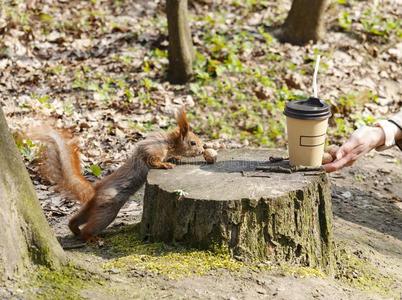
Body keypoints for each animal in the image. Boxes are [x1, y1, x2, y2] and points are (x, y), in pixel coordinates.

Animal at [29, 108, 204, 241]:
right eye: (193, 143)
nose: (203, 151)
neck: (168, 143)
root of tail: (95, 190)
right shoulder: (152, 150)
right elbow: (153, 161)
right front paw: (166, 164)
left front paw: (175, 158)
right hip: (107, 210)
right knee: (90, 227)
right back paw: (91, 239)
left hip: (93, 207)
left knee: (75, 219)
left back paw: (75, 230)